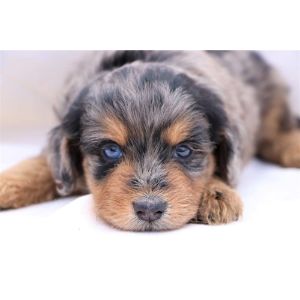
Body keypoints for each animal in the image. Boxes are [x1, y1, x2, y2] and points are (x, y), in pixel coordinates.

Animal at [0, 50, 300, 231]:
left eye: (183, 151)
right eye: (111, 150)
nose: (149, 210)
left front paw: (217, 194)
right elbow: (42, 165)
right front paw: (7, 184)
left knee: (275, 129)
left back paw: (292, 146)